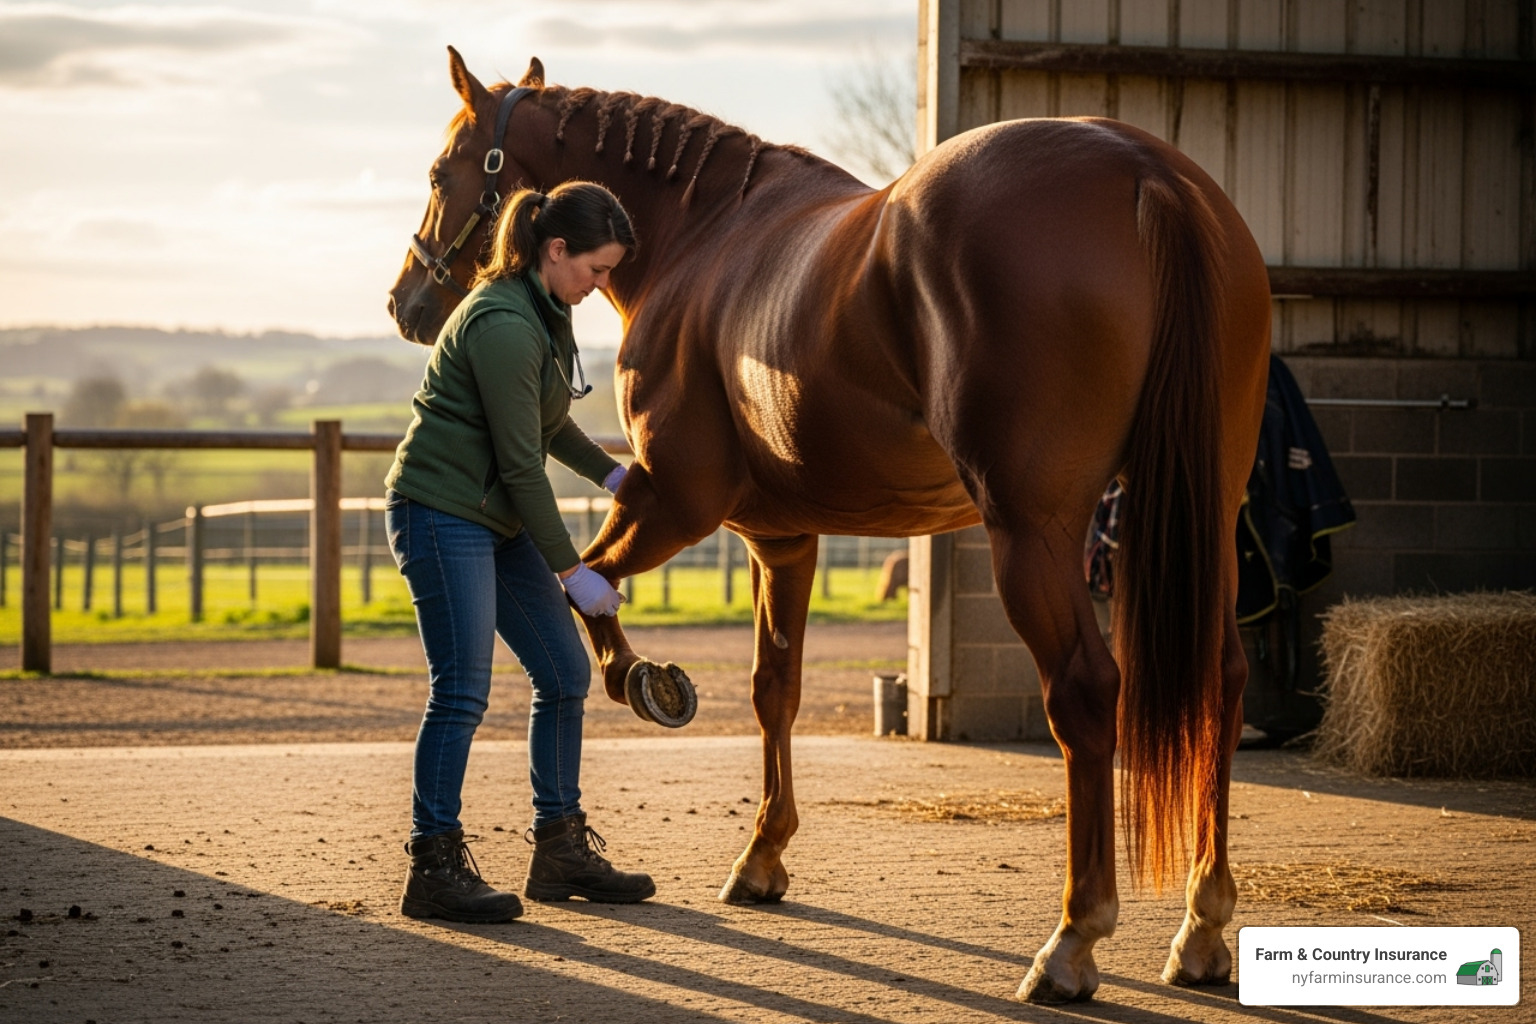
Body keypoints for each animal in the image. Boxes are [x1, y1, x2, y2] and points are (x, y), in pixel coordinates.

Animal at [388, 48, 1271, 1003]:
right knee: (1223, 679)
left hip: (1033, 531)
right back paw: (1201, 929)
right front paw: (762, 857)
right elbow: (774, 686)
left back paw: (1073, 942)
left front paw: (643, 681)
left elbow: (587, 589)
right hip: (1206, 514)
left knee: (1084, 690)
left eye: (440, 173)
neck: (705, 235)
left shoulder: (676, 502)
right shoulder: (783, 538)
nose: (406, 303)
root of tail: (1145, 170)